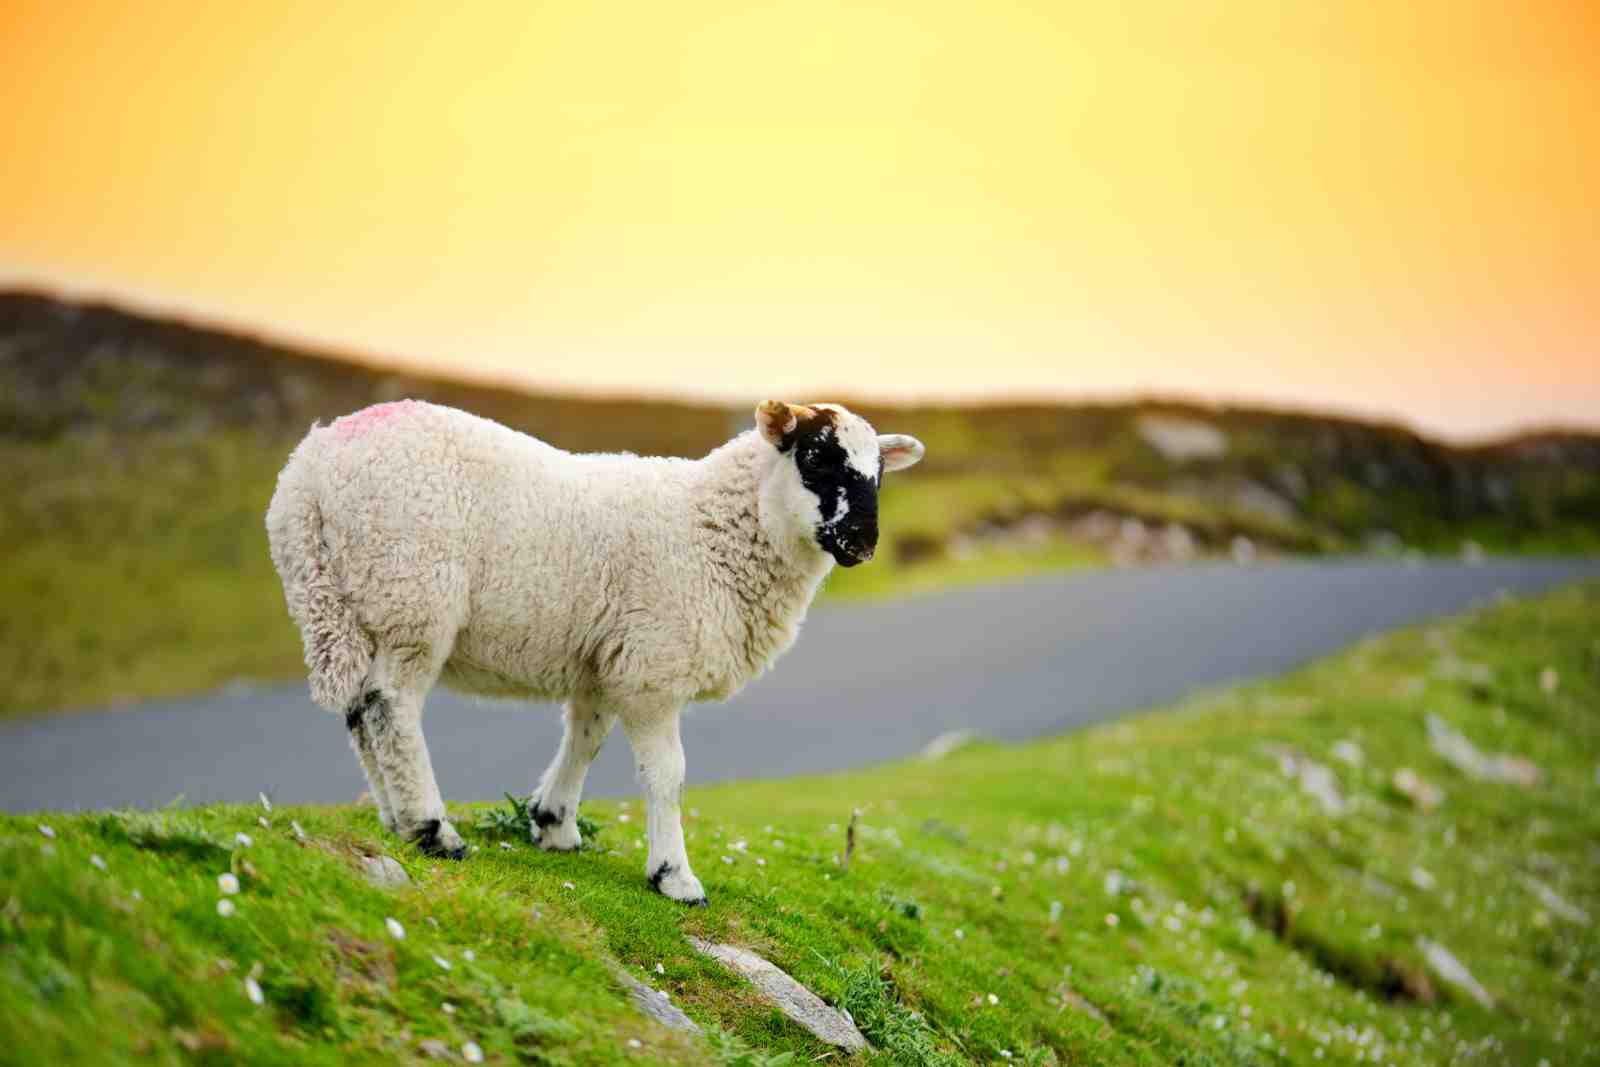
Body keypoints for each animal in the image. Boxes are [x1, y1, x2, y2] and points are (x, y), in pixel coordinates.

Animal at [266, 398, 924, 903]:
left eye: (880, 474)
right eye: (814, 457)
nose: (862, 541)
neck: (712, 527)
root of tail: (310, 469)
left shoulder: (611, 659)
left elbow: (586, 738)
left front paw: (554, 825)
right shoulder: (656, 666)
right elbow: (667, 775)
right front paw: (674, 877)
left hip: (342, 605)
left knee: (360, 712)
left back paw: (393, 818)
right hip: (410, 593)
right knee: (391, 707)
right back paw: (432, 829)